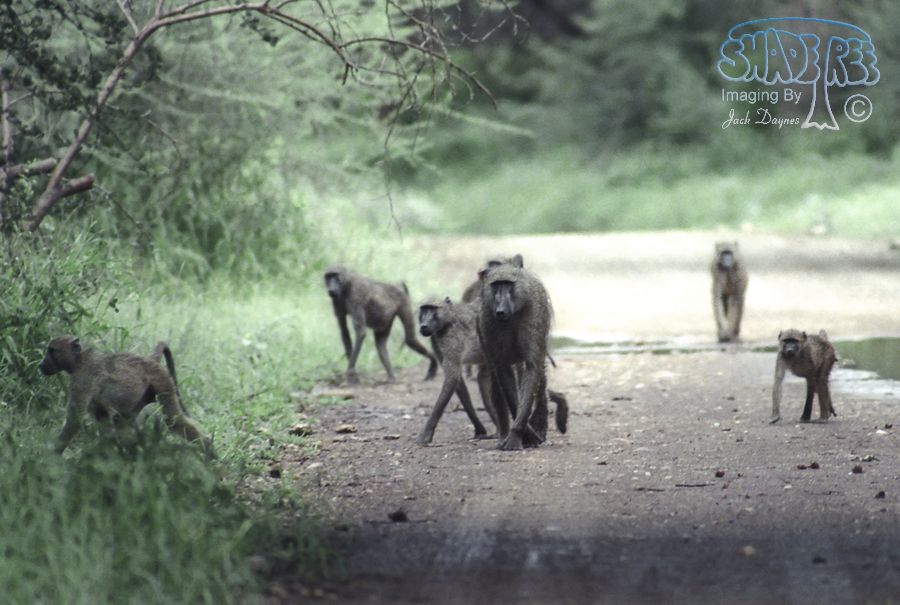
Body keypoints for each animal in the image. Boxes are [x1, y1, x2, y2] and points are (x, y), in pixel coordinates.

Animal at [38, 336, 213, 454]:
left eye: (52, 351)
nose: (41, 365)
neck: (80, 361)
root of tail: (150, 360)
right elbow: (103, 420)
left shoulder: (82, 382)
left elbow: (74, 421)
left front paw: (52, 457)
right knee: (123, 422)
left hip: (162, 380)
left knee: (173, 421)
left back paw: (209, 452)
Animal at [477, 264, 553, 450]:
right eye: (496, 286)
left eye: (508, 285)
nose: (500, 310)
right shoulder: (486, 322)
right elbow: (503, 371)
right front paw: (522, 435)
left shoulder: (534, 316)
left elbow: (532, 367)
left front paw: (521, 435)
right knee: (496, 381)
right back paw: (503, 435)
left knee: (539, 377)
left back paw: (539, 424)